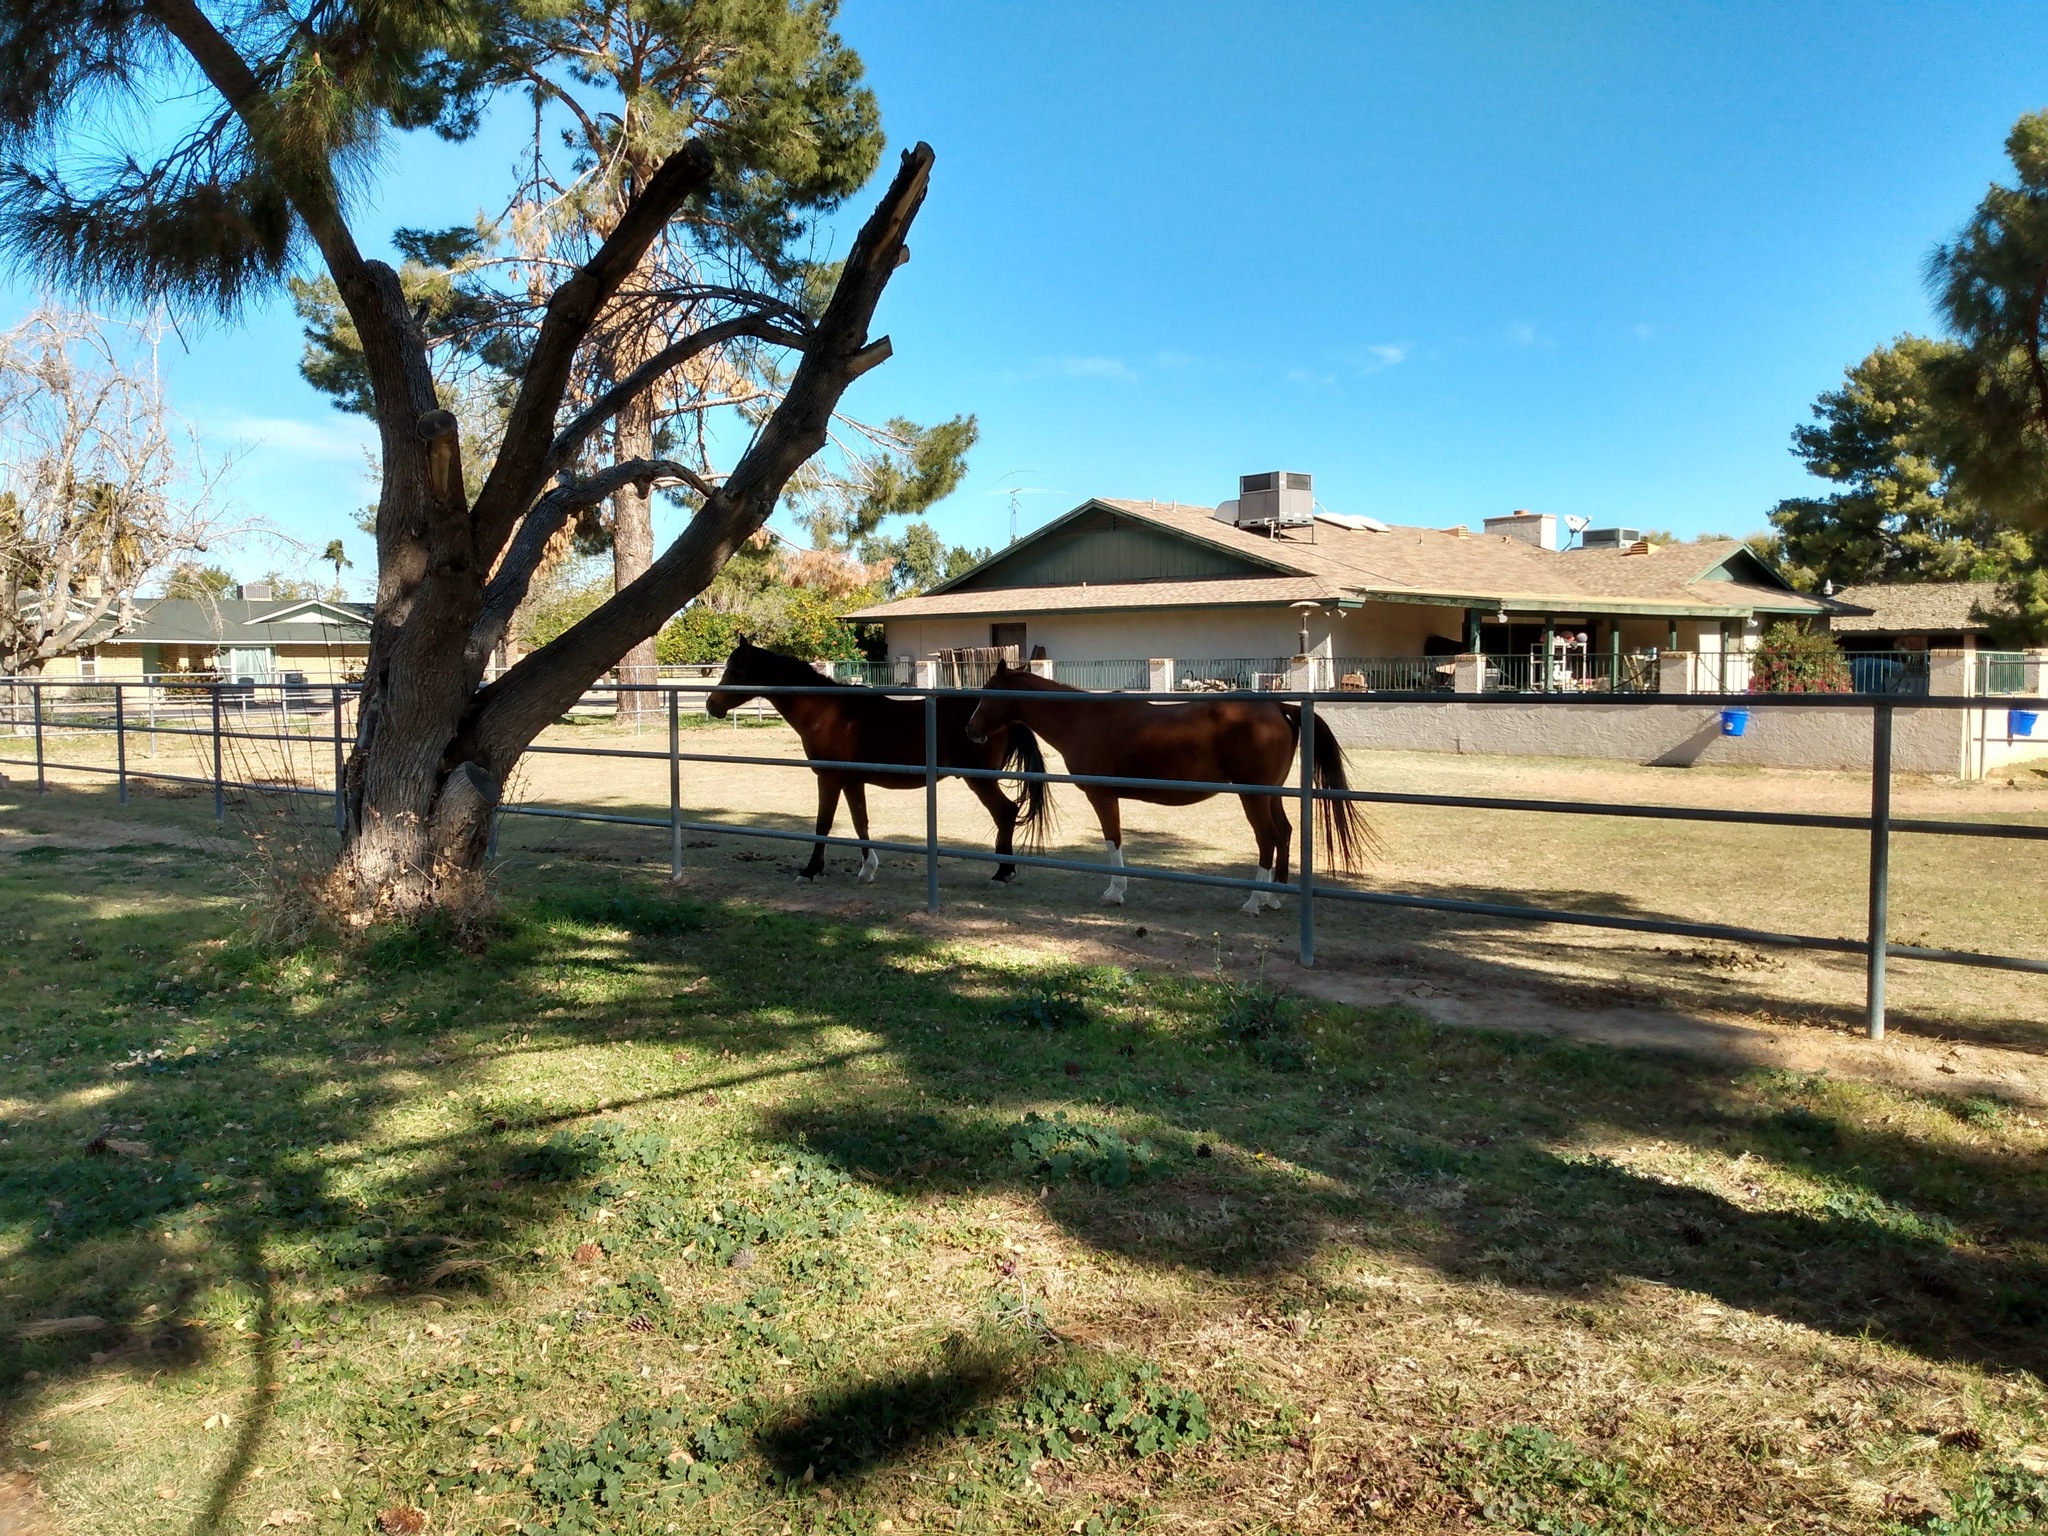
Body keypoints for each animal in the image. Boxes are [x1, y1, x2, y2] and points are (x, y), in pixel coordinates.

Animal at [708, 638, 1056, 884]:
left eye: (736, 670)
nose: (712, 704)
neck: (827, 711)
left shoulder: (829, 778)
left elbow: (823, 824)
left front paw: (810, 870)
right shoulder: (852, 781)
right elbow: (860, 822)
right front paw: (867, 869)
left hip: (980, 779)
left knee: (1006, 812)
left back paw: (1003, 873)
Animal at [962, 663, 1376, 913]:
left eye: (987, 692)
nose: (970, 729)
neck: (1080, 718)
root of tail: (1279, 708)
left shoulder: (1102, 796)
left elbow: (1113, 840)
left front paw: (1115, 891)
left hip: (1253, 795)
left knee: (1268, 838)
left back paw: (1254, 901)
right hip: (1270, 794)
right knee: (1285, 833)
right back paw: (1274, 898)